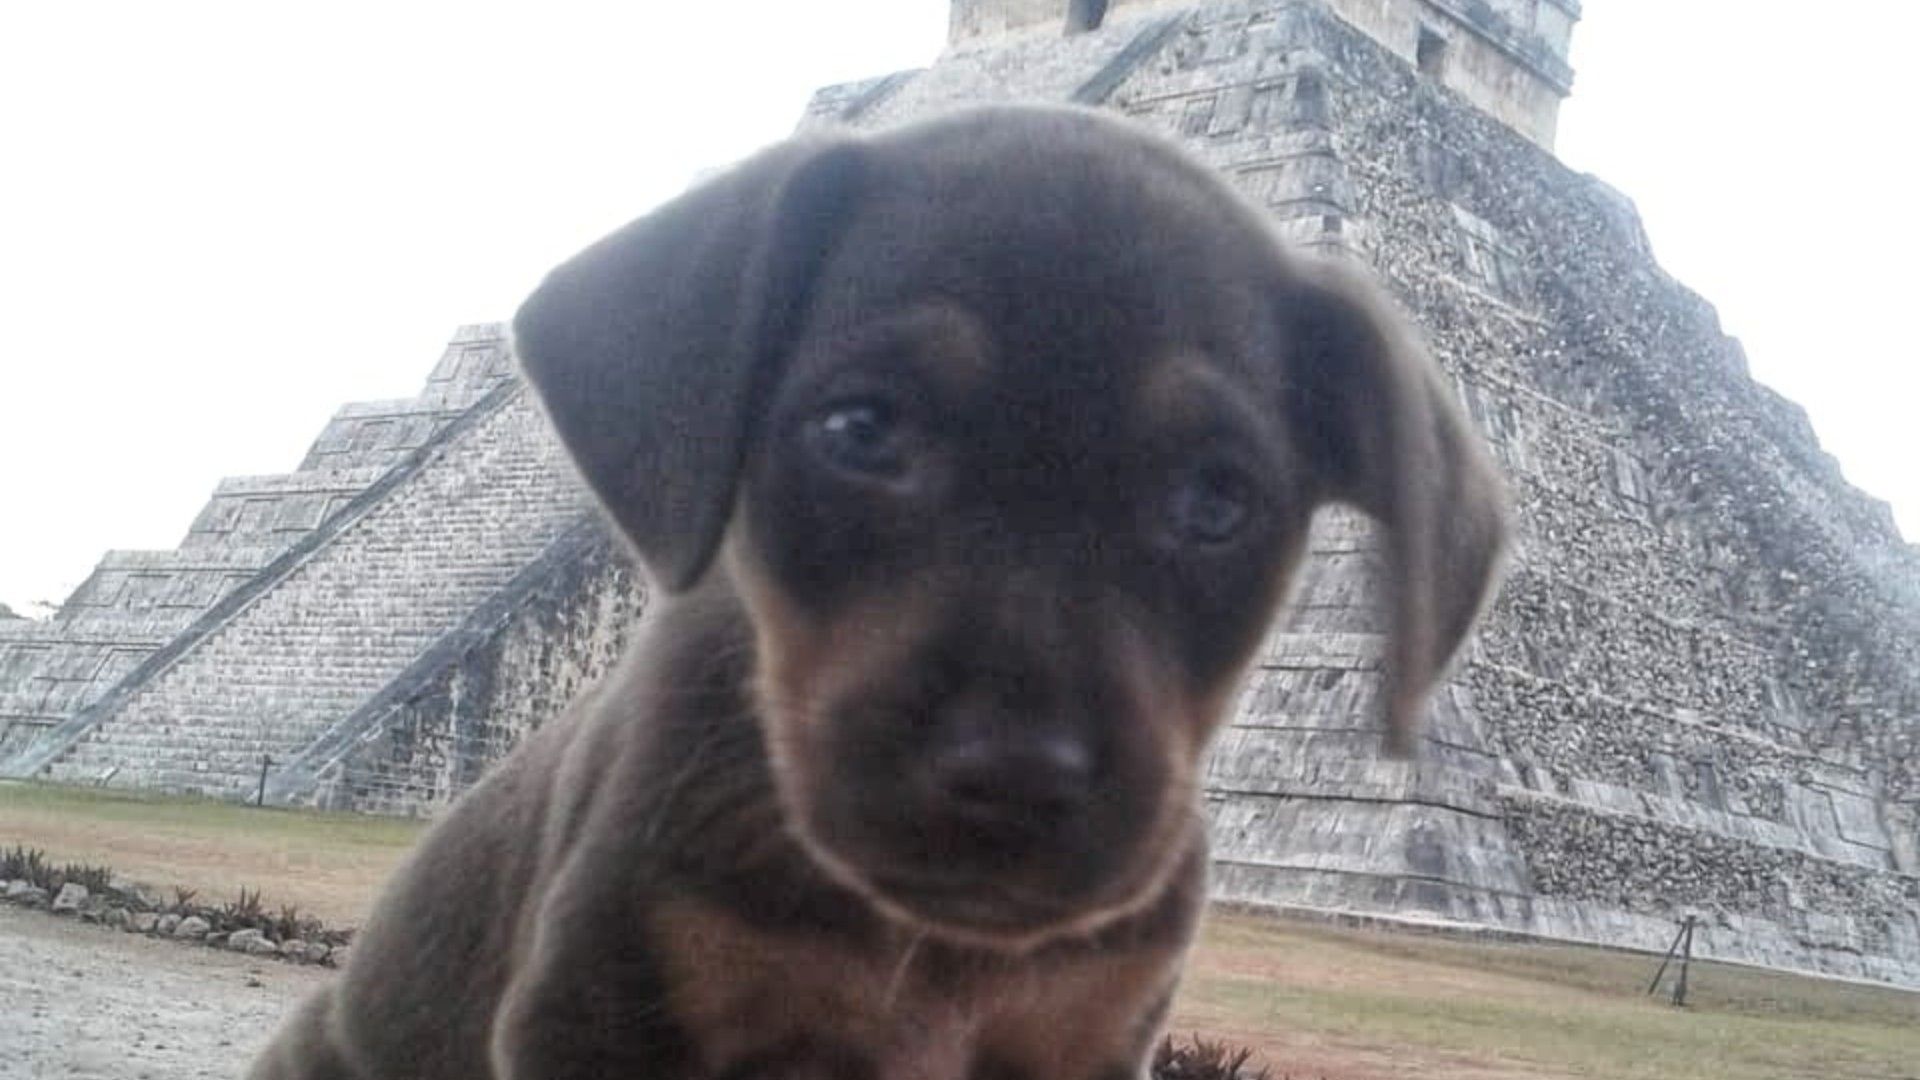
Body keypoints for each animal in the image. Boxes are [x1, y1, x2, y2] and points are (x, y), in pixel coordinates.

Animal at [247, 105, 1505, 1076]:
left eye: (1217, 499)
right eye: (861, 429)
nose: (1015, 777)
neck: (934, 950)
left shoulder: (1084, 1041)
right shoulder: (599, 1012)